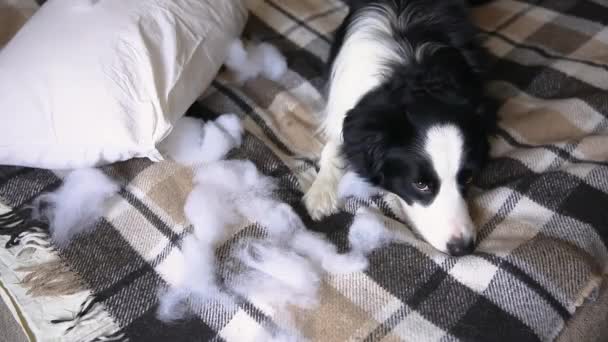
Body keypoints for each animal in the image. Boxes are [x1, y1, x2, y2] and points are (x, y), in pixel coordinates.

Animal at [302, 0, 496, 255]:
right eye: (420, 184)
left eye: (468, 177)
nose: (462, 248)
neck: (412, 74)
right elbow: (333, 145)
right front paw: (321, 193)